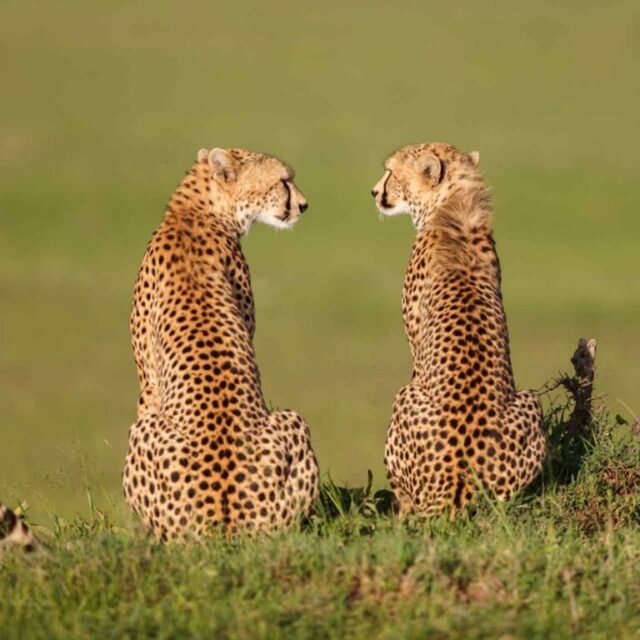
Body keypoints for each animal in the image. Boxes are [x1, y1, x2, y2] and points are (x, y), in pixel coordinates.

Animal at [371, 142, 546, 516]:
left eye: (391, 172)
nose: (375, 192)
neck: (452, 203)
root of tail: (457, 480)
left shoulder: (415, 346)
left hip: (403, 398)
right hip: (528, 403)